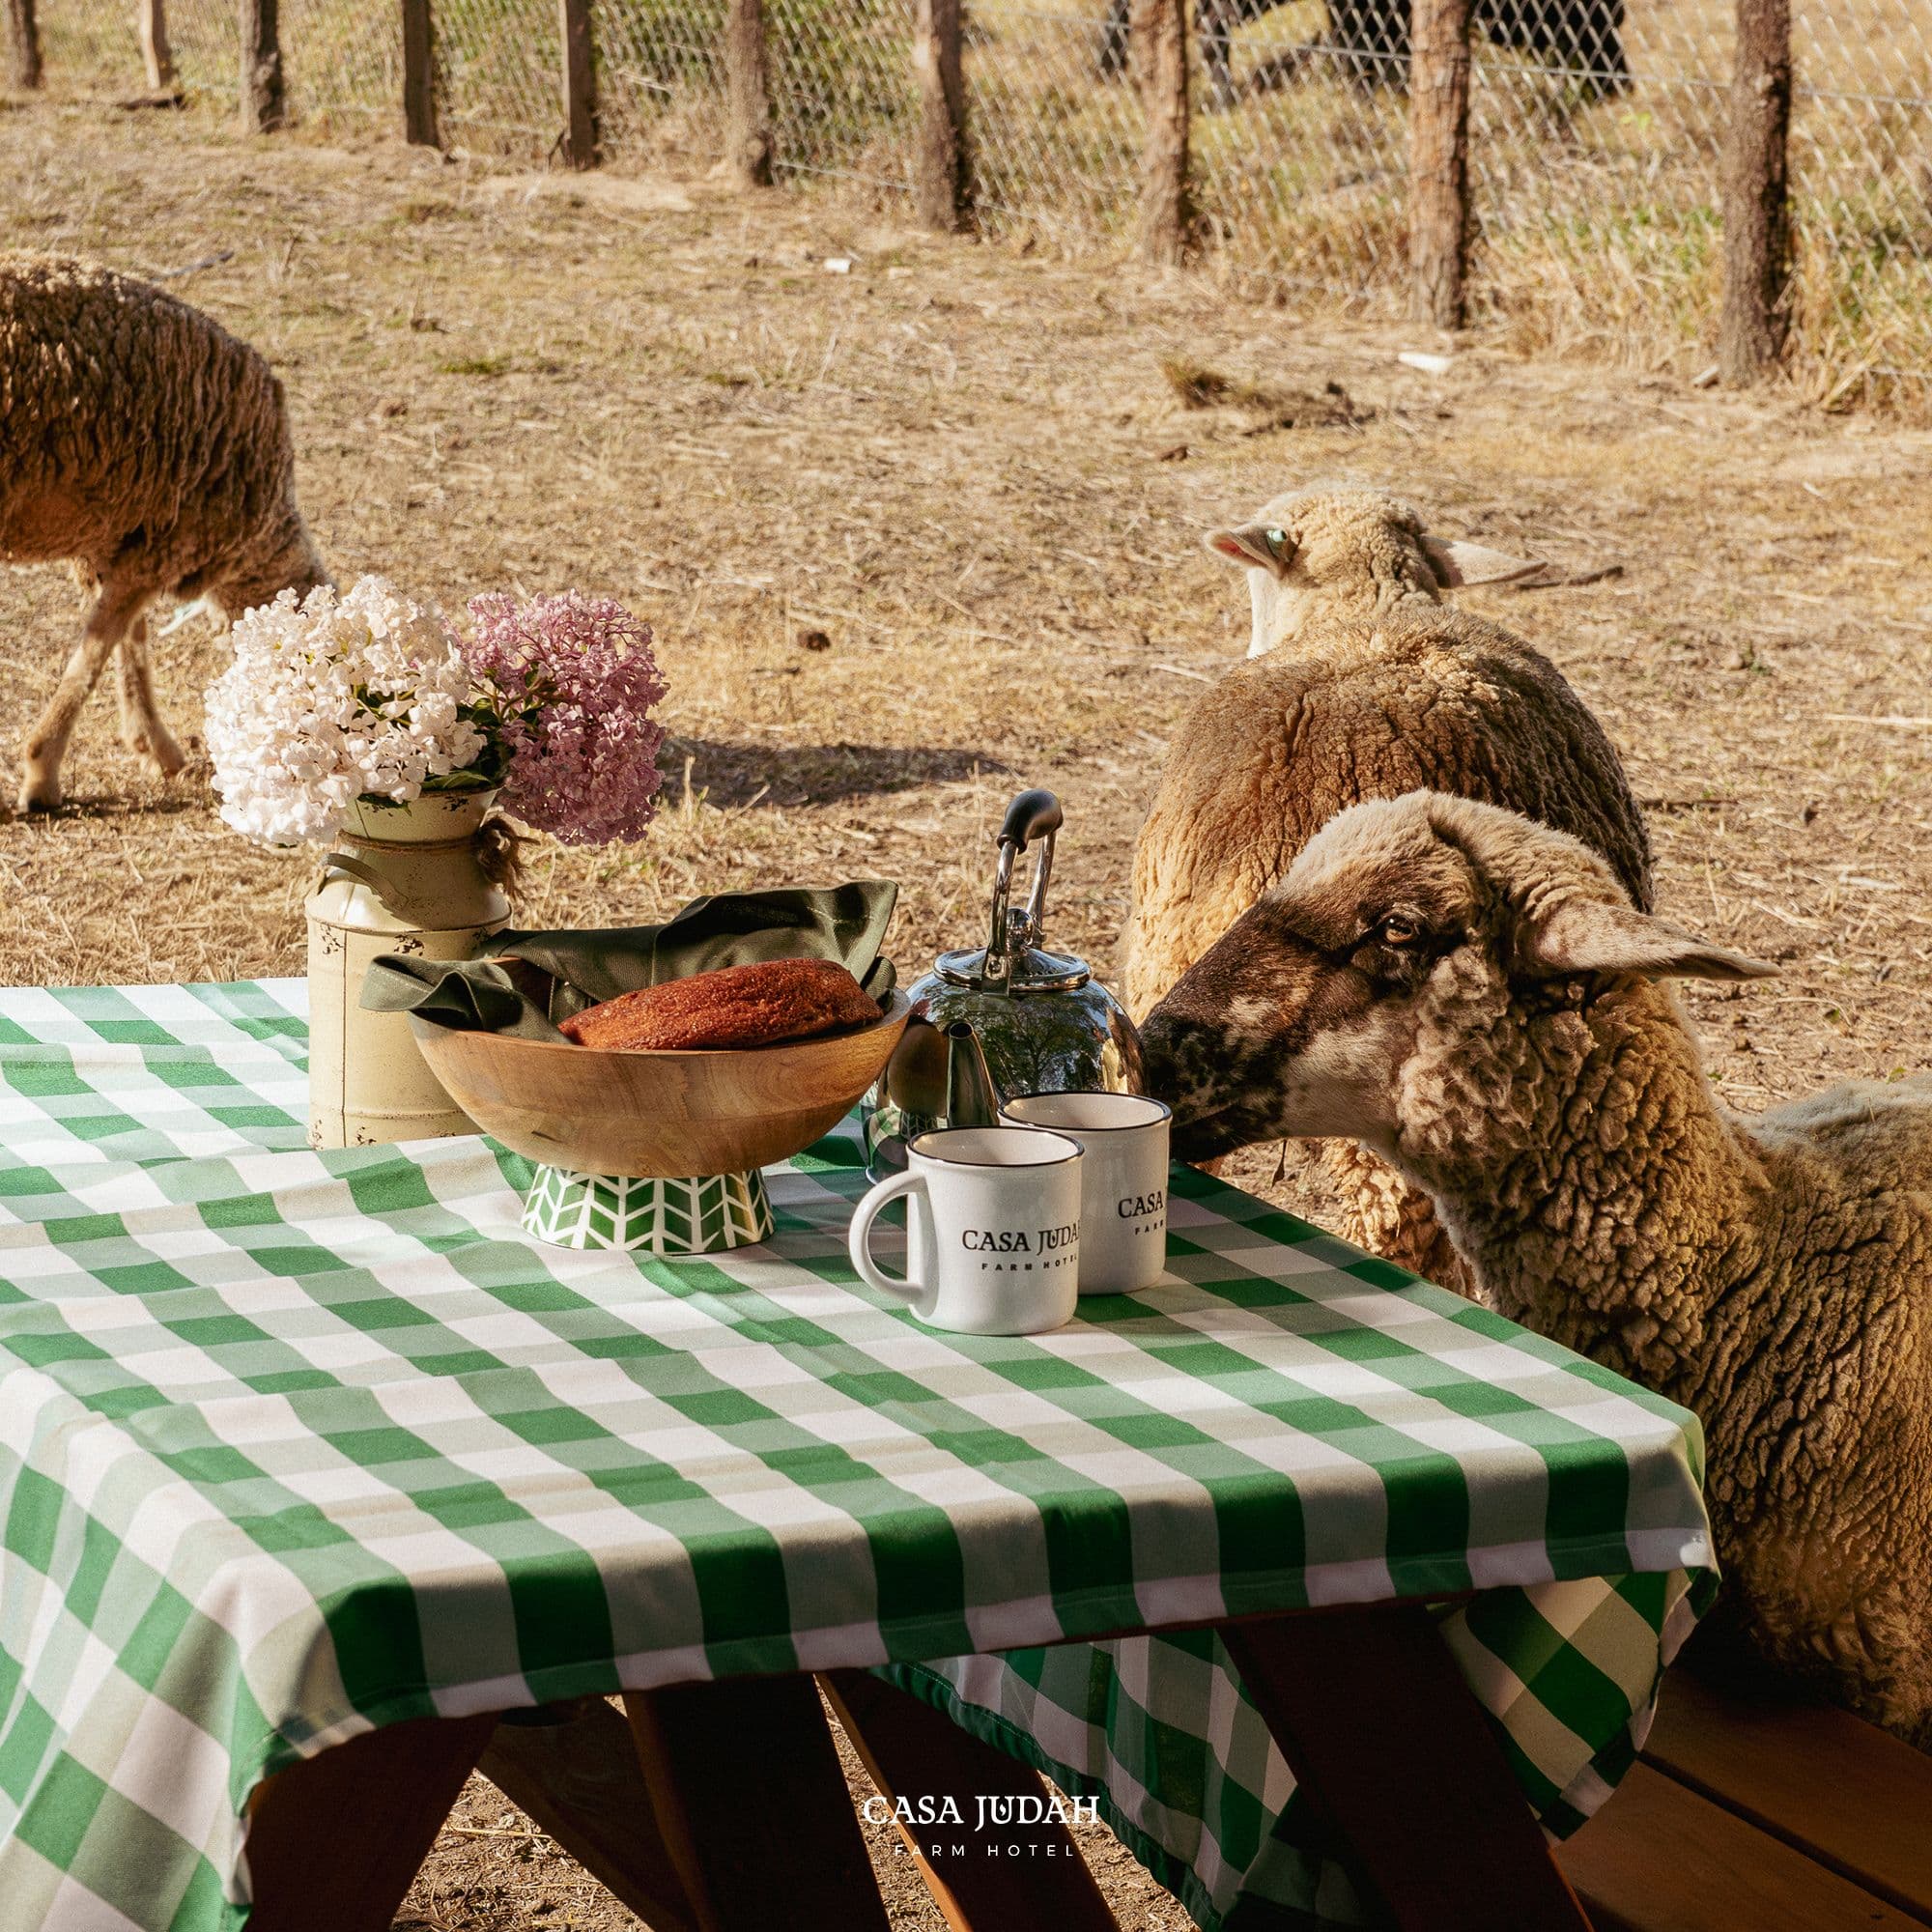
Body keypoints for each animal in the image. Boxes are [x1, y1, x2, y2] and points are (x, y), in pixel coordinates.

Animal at [1, 253, 329, 813]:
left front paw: (153, 747)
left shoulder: (127, 537)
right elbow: (95, 652)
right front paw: (41, 776)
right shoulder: (164, 545)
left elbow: (127, 640)